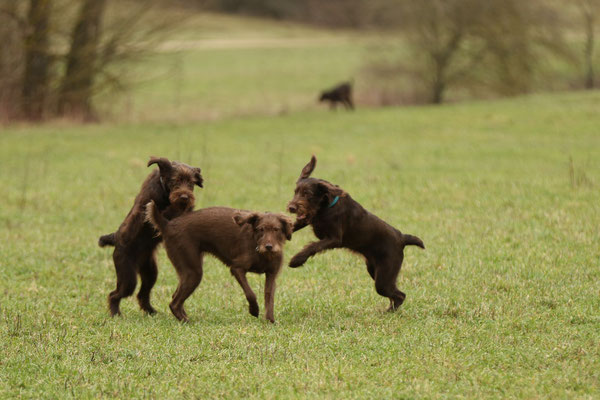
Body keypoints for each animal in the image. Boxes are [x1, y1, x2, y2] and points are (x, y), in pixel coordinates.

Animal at [97, 156, 203, 316]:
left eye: (191, 183)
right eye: (175, 181)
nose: (184, 197)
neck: (164, 190)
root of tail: (115, 238)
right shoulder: (146, 209)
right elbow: (165, 211)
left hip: (150, 272)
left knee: (142, 294)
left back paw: (151, 311)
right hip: (127, 275)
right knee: (114, 294)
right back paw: (116, 313)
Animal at [146, 205, 294, 324]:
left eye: (276, 229)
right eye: (260, 229)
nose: (268, 246)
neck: (261, 252)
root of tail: (168, 225)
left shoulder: (271, 275)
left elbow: (269, 298)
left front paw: (270, 320)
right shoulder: (237, 268)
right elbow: (250, 293)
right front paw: (254, 310)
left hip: (188, 272)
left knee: (175, 298)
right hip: (193, 272)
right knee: (174, 303)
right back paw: (187, 321)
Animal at [288, 155, 424, 310]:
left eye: (307, 194)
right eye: (295, 192)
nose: (291, 207)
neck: (327, 206)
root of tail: (402, 237)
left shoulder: (334, 238)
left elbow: (313, 246)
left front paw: (296, 260)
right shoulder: (308, 218)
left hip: (384, 275)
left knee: (400, 295)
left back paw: (389, 311)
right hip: (375, 270)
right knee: (396, 294)